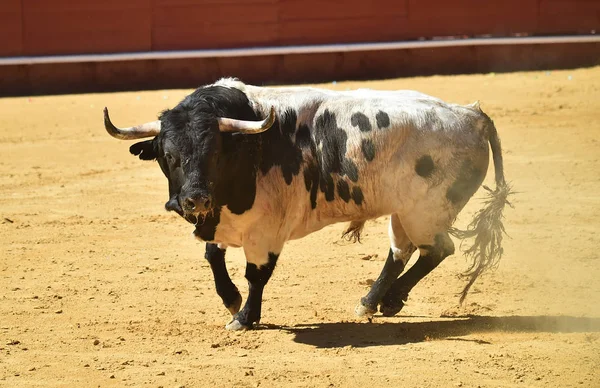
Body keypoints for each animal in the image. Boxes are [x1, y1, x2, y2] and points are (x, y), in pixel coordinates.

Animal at [103, 79, 510, 330]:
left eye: (215, 153)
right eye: (168, 156)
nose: (194, 198)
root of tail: (472, 116)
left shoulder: (267, 230)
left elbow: (257, 274)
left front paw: (245, 317)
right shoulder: (219, 219)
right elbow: (213, 255)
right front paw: (232, 300)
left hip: (425, 212)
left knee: (436, 249)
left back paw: (390, 299)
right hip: (405, 212)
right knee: (402, 251)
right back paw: (373, 301)